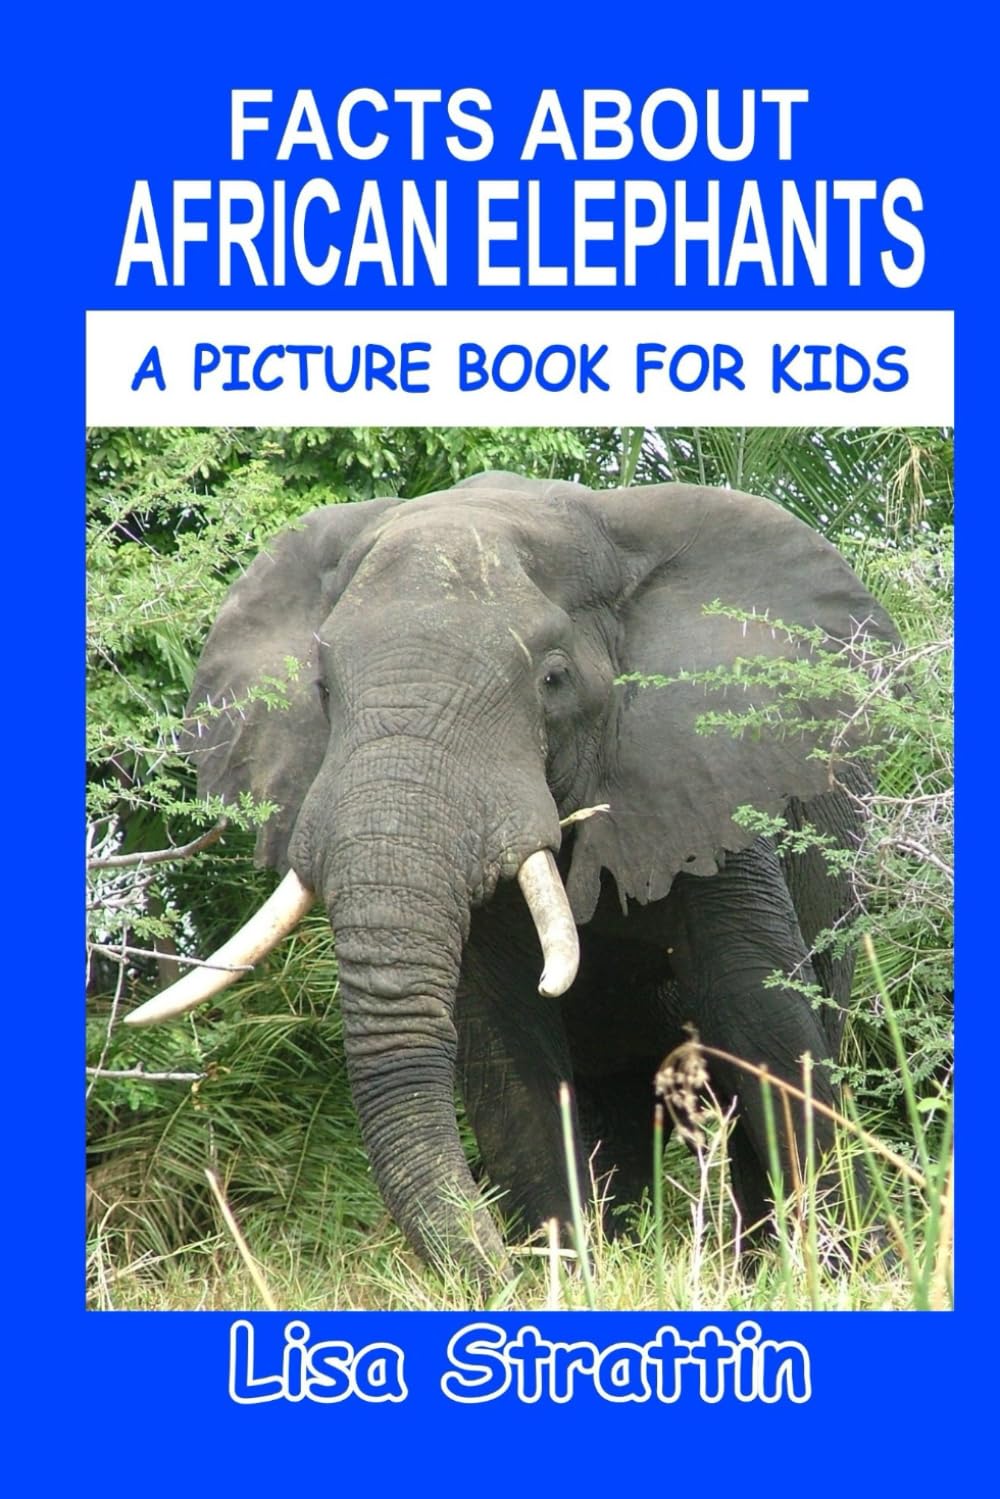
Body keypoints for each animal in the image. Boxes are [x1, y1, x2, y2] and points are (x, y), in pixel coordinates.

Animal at [126, 471, 897, 1284]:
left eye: (553, 679)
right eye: (324, 690)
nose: (497, 1267)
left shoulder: (706, 782)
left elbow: (760, 1015)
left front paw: (857, 1269)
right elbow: (507, 1049)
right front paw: (573, 1276)